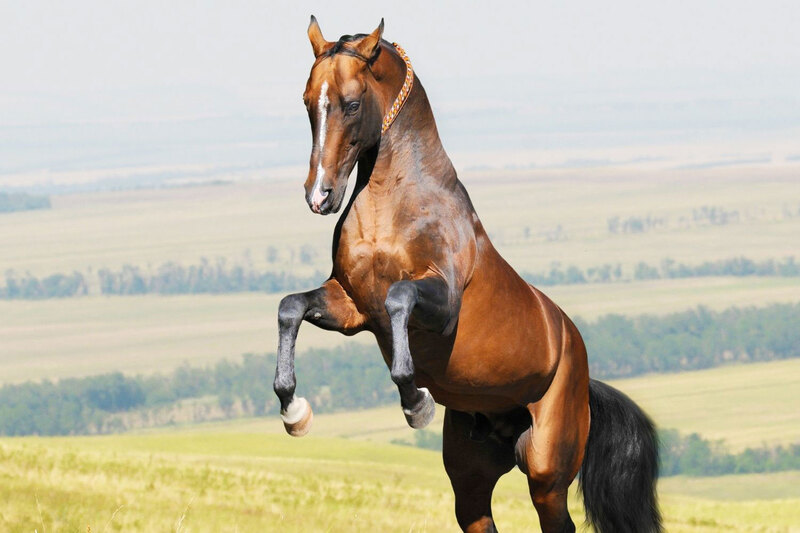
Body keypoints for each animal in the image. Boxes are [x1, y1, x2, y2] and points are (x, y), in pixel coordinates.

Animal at [273, 17, 662, 533]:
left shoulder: (440, 303)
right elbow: (290, 307)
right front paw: (293, 410)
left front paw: (415, 402)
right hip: (470, 476)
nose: (320, 196)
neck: (392, 208)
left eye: (352, 103)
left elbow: (399, 297)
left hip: (546, 470)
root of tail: (581, 368)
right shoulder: (352, 307)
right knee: (478, 513)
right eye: (306, 101)